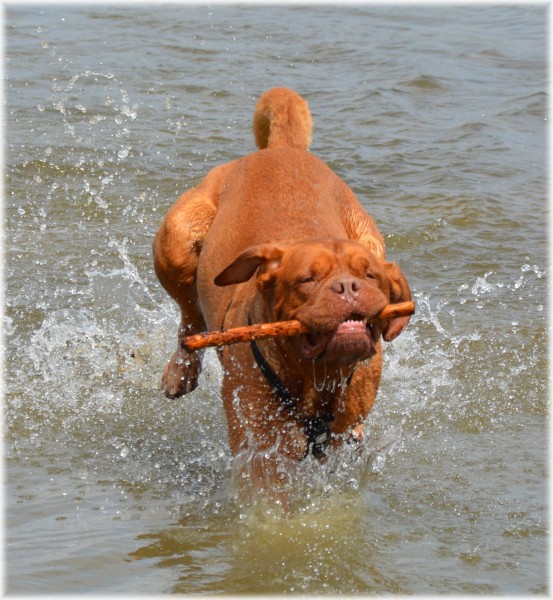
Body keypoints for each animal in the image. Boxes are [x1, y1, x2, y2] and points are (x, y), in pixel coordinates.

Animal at [151, 85, 410, 492]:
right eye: (306, 279)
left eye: (369, 275)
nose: (347, 286)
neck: (317, 379)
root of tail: (281, 149)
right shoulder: (260, 438)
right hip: (176, 242)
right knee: (189, 317)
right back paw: (181, 370)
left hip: (369, 233)